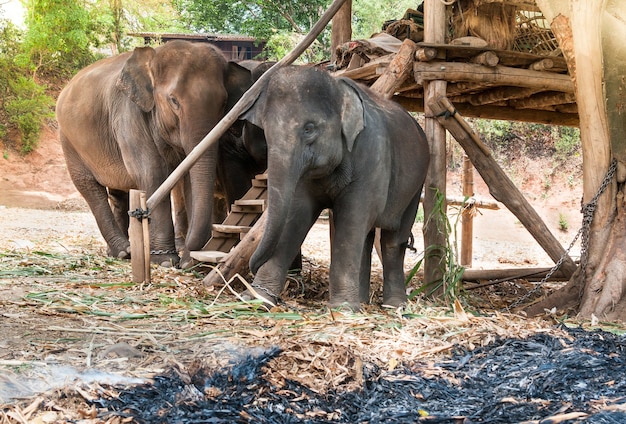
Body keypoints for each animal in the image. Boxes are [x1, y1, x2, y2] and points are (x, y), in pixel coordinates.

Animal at [56, 39, 251, 264]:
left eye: (224, 103)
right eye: (173, 100)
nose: (188, 257)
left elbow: (187, 175)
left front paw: (185, 257)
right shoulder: (128, 114)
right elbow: (151, 171)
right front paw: (165, 260)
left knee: (117, 193)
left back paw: (120, 252)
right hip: (69, 141)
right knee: (89, 187)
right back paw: (123, 251)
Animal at [240, 66, 428, 310]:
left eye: (309, 129)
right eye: (265, 130)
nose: (251, 267)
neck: (338, 87)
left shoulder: (372, 154)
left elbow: (353, 217)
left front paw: (343, 308)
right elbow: (296, 216)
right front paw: (254, 299)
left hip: (416, 185)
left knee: (392, 241)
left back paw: (394, 306)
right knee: (366, 239)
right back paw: (362, 301)